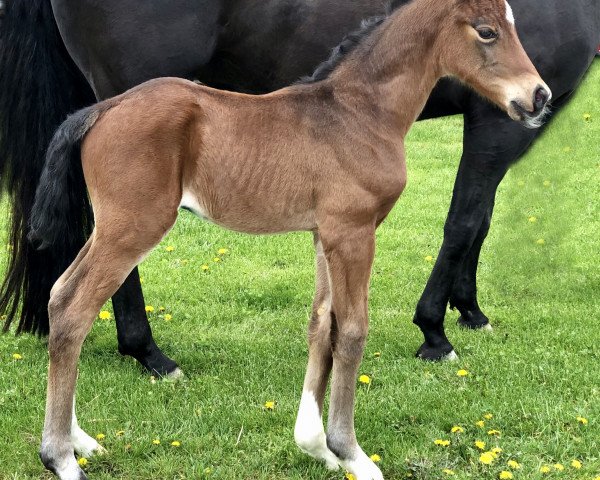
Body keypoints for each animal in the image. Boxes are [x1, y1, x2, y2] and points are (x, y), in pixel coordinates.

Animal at [31, 0, 548, 480]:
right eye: (486, 31)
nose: (538, 96)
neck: (359, 114)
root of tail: (103, 107)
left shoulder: (325, 235)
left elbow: (321, 325)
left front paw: (316, 445)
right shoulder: (354, 233)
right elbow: (353, 331)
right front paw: (352, 453)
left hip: (109, 227)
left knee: (59, 295)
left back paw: (81, 441)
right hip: (133, 227)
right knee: (75, 308)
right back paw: (61, 457)